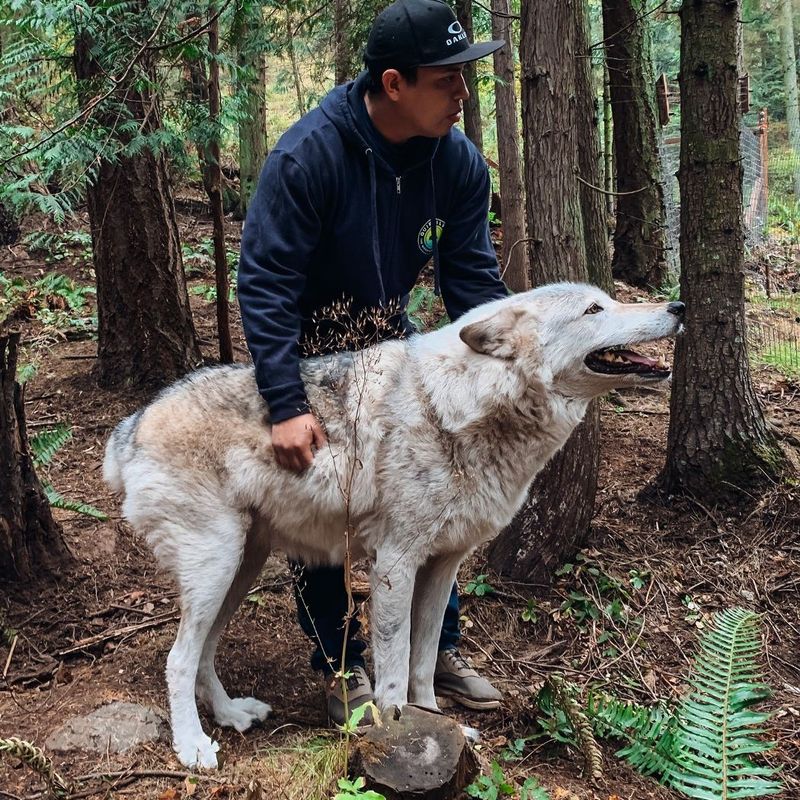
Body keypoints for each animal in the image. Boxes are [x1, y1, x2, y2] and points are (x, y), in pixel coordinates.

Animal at [103, 282, 684, 768]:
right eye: (594, 310)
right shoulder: (395, 565)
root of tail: (131, 425)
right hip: (217, 568)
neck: (457, 407)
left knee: (203, 655)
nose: (678, 306)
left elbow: (424, 662)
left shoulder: (443, 565)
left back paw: (230, 716)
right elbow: (394, 664)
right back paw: (193, 747)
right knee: (179, 661)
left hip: (239, 571)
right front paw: (395, 726)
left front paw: (439, 723)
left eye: (608, 299)